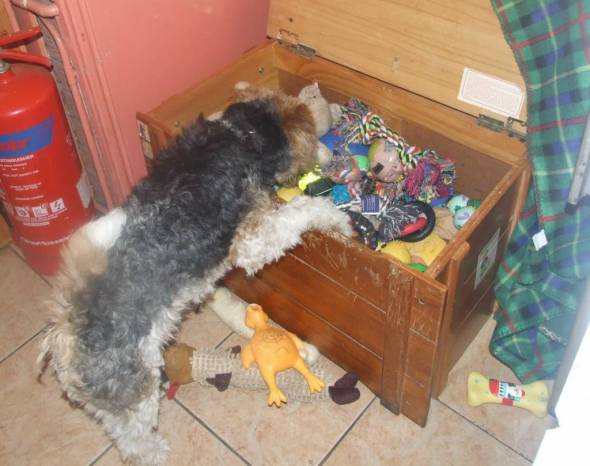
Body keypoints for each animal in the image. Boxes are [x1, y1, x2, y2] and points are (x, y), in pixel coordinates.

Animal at [40, 88, 352, 466]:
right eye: (315, 132)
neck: (241, 134)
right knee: (134, 442)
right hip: (134, 397)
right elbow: (302, 211)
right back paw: (157, 452)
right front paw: (338, 220)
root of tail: (66, 334)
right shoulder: (251, 241)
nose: (332, 156)